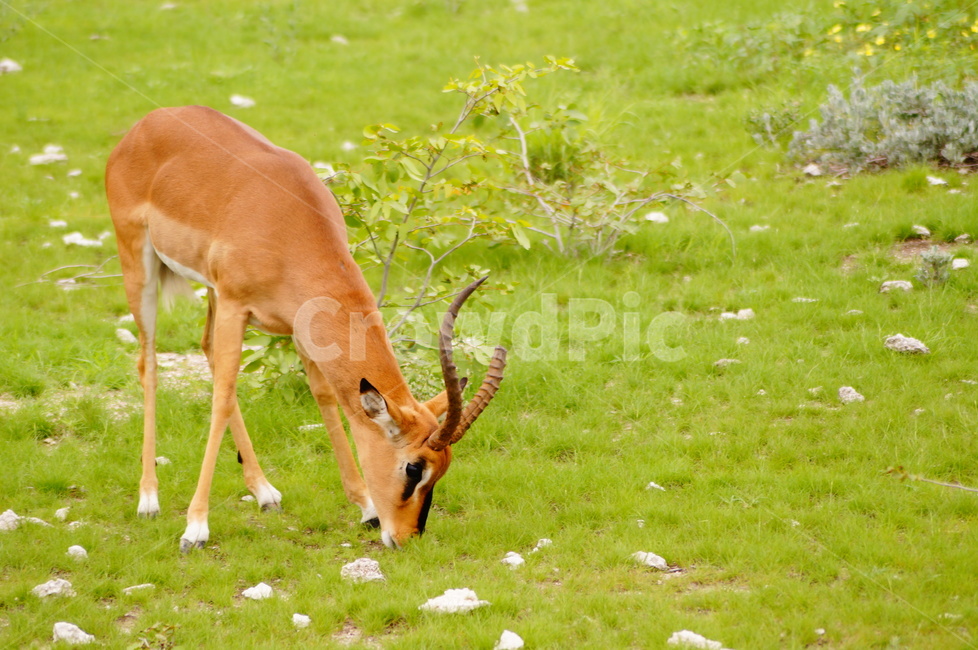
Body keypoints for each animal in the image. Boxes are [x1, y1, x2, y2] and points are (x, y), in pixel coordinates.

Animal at [105, 105, 506, 551]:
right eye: (414, 468)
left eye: (444, 468)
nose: (407, 538)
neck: (287, 221)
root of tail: (149, 122)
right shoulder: (235, 305)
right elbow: (222, 397)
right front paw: (195, 528)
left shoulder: (300, 322)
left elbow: (325, 396)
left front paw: (366, 507)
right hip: (140, 267)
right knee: (150, 363)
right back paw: (149, 500)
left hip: (209, 290)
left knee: (207, 350)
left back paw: (265, 492)